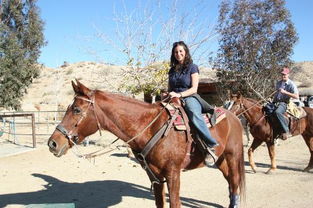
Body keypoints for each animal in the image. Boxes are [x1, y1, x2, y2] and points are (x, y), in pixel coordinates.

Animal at [47, 80, 245, 208]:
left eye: (76, 109)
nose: (53, 143)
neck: (151, 127)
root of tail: (235, 117)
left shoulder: (173, 174)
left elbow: (174, 203)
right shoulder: (155, 176)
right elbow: (160, 203)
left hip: (232, 156)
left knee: (235, 182)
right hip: (220, 159)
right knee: (230, 181)